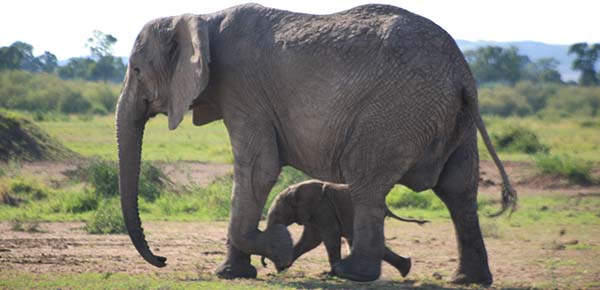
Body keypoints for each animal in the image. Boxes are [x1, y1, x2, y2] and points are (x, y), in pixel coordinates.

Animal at [262, 179, 426, 276]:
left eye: (277, 214)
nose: (265, 265)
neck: (295, 190)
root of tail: (385, 205)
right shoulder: (313, 213)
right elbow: (310, 240)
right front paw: (281, 269)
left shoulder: (323, 208)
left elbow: (329, 237)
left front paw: (328, 274)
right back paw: (405, 269)